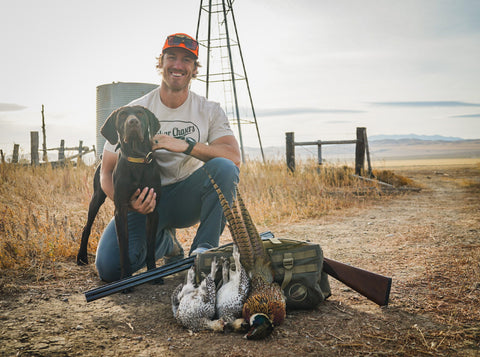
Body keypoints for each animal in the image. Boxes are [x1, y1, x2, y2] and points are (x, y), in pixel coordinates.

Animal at [77, 105, 161, 280]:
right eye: (122, 115)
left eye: (140, 113)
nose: (133, 122)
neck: (136, 159)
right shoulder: (120, 210)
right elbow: (123, 246)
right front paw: (126, 277)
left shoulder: (153, 210)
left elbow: (150, 246)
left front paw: (154, 274)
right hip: (96, 198)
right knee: (86, 228)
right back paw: (81, 257)